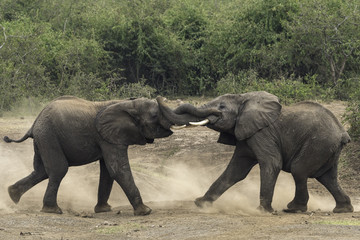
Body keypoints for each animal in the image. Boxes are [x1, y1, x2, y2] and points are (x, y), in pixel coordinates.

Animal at [3, 95, 180, 216]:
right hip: (48, 136)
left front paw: (104, 210)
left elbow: (108, 172)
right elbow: (118, 170)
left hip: (43, 138)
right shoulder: (109, 138)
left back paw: (12, 195)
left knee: (42, 171)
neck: (127, 103)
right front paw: (146, 211)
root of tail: (33, 124)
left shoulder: (107, 138)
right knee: (58, 170)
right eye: (155, 116)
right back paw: (53, 210)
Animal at [158, 91, 354, 213]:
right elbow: (235, 171)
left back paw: (293, 209)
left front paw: (263, 211)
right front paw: (200, 204)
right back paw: (342, 209)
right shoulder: (245, 134)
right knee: (328, 177)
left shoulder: (262, 133)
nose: (160, 97)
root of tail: (342, 133)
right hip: (326, 148)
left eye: (221, 107)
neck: (244, 98)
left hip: (318, 143)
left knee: (299, 171)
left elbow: (271, 163)